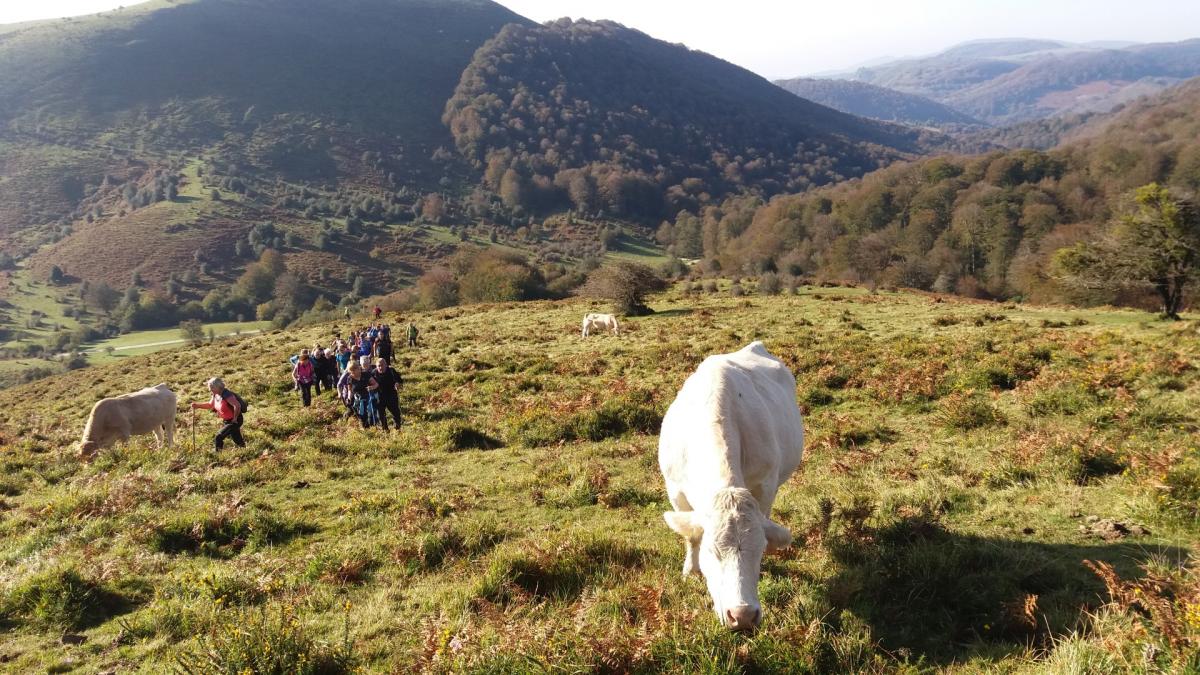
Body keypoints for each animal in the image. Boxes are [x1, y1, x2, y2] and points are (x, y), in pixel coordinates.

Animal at [657, 341, 806, 629]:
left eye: (759, 551)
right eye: (711, 552)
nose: (743, 615)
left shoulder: (764, 485)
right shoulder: (675, 491)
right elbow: (690, 535)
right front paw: (690, 569)